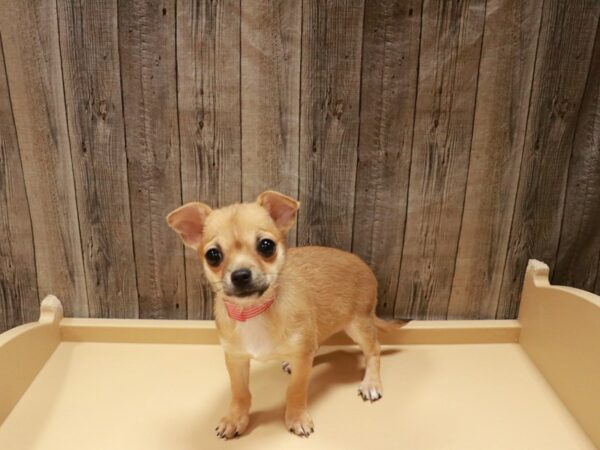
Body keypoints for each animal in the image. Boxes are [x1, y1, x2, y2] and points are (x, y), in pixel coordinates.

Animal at [166, 191, 400, 440]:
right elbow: (239, 393)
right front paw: (235, 418)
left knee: (374, 350)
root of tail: (362, 264)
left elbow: (295, 390)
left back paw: (371, 383)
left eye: (266, 246)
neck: (254, 310)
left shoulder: (301, 359)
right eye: (213, 255)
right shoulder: (236, 359)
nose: (240, 275)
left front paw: (297, 418)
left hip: (358, 324)